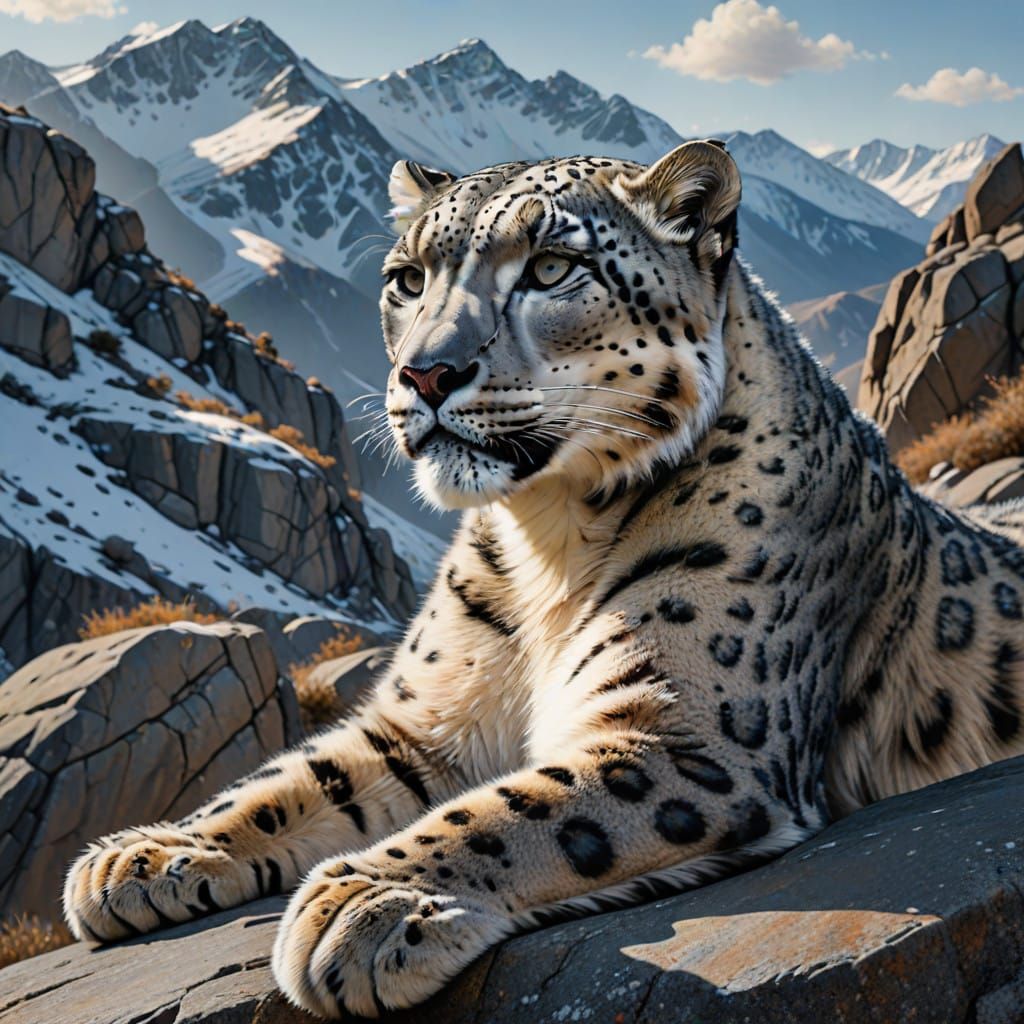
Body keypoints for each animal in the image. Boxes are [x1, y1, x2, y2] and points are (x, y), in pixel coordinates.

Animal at [63, 140, 1024, 1019]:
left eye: (553, 267)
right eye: (406, 279)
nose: (425, 372)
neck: (546, 543)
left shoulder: (687, 736)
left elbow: (519, 812)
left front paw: (364, 903)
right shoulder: (427, 722)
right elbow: (293, 778)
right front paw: (147, 854)